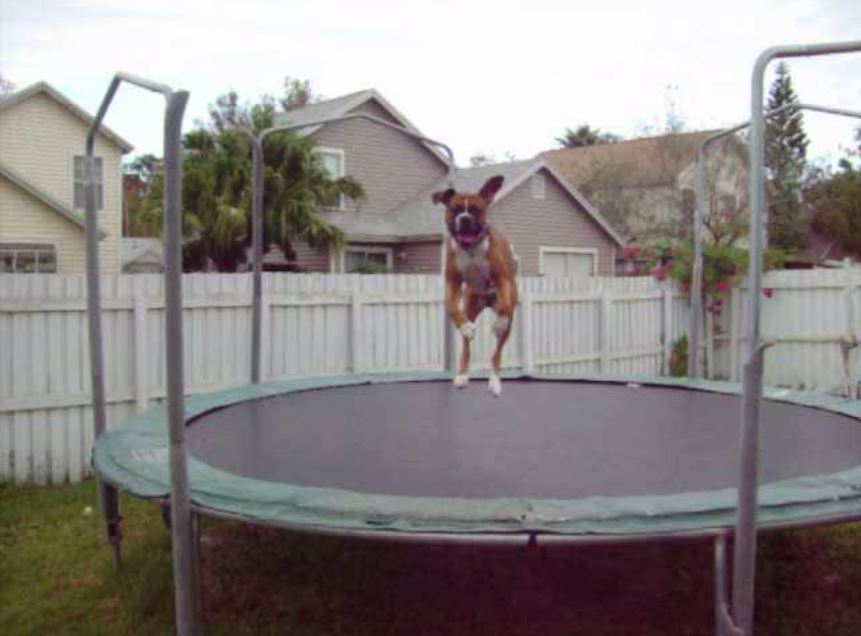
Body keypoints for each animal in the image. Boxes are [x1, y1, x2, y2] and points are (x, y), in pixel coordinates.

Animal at [434, 175, 512, 398]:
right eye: (455, 209)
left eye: (476, 209)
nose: (465, 219)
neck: (471, 249)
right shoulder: (452, 283)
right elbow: (451, 307)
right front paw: (466, 327)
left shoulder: (503, 280)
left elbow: (504, 307)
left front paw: (499, 321)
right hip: (470, 306)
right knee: (466, 348)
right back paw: (462, 375)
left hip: (508, 324)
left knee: (497, 353)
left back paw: (494, 381)